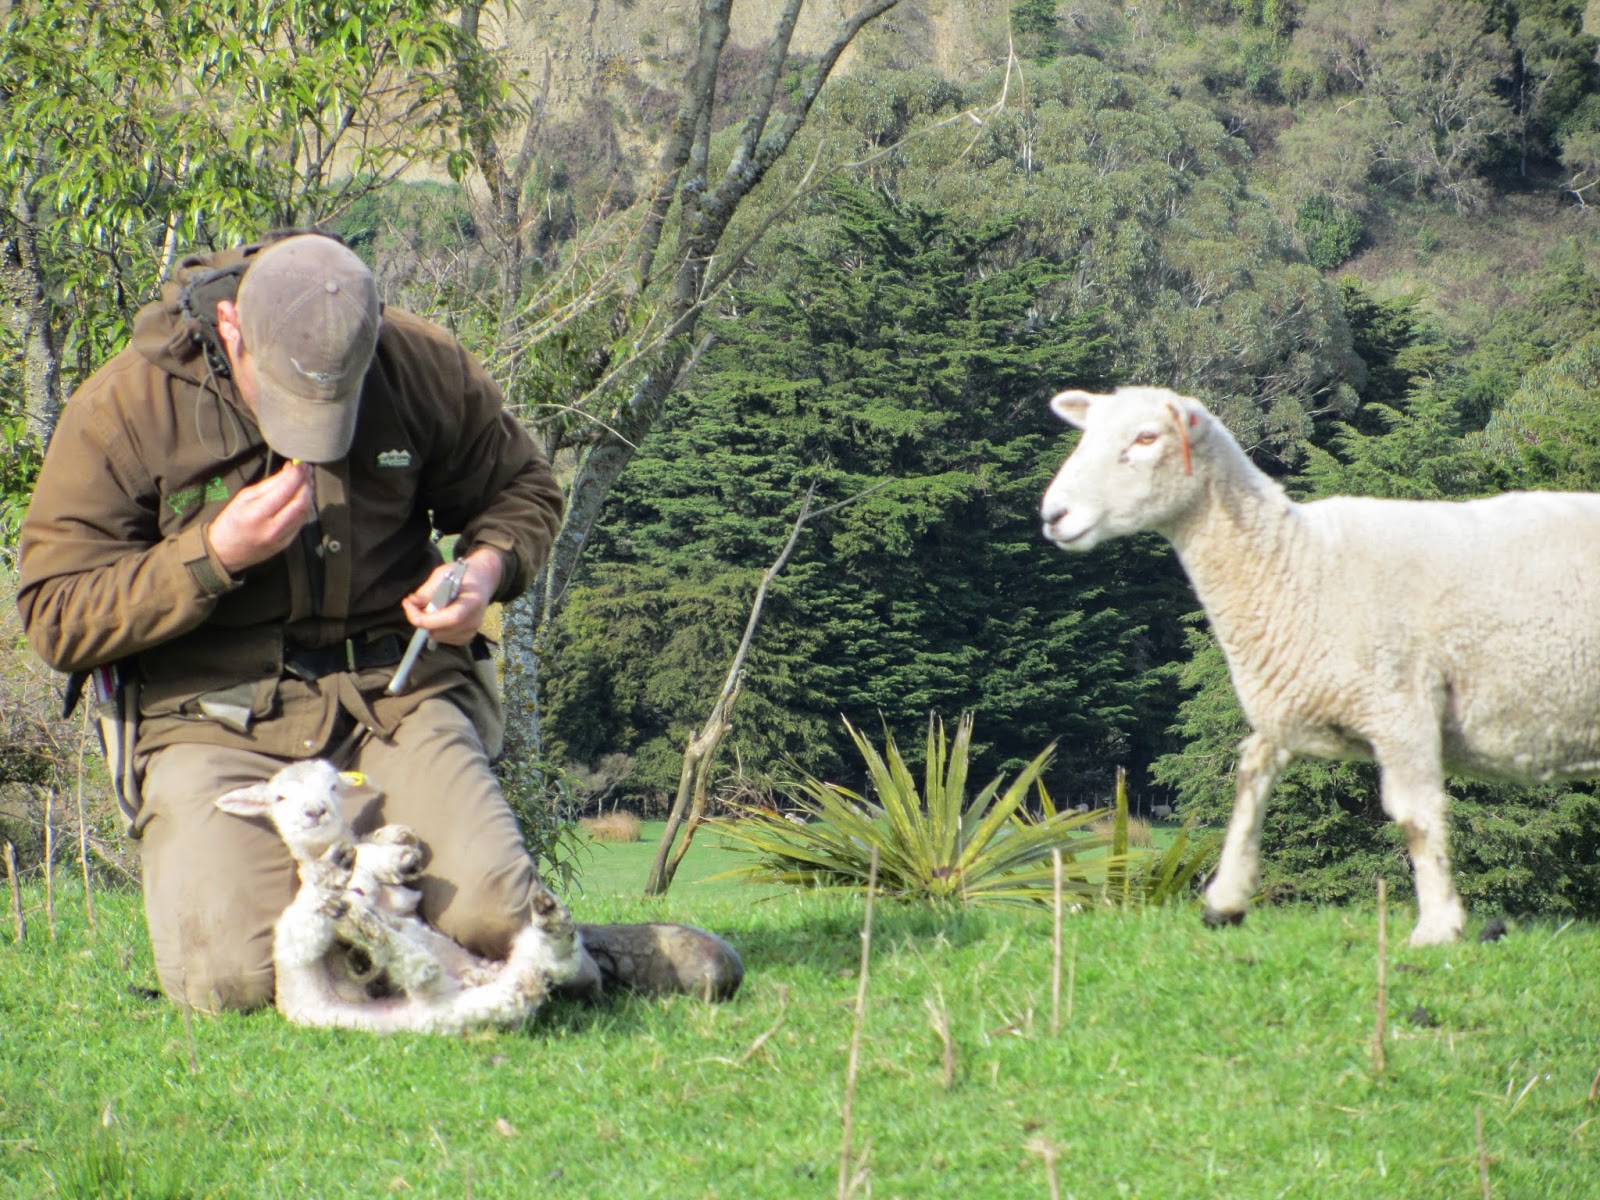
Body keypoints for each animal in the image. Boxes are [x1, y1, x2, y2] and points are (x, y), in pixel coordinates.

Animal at [216, 761, 585, 1036]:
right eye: (279, 797)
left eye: (334, 787)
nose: (316, 811)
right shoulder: (299, 945)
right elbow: (303, 928)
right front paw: (336, 873)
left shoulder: (402, 899)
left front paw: (396, 854)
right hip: (426, 1007)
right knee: (424, 971)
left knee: (550, 960)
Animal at [1036, 390, 1600, 947]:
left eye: (1146, 438)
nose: (1053, 514)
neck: (1297, 561)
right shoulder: (1298, 692)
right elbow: (1251, 771)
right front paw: (1226, 898)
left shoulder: (1402, 705)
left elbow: (1417, 817)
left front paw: (1438, 926)